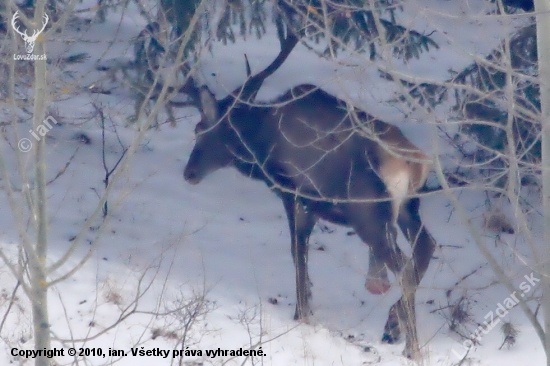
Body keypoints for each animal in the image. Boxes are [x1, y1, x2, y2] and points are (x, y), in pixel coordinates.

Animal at [183, 25, 438, 360]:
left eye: (200, 129)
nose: (189, 173)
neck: (261, 147)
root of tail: (416, 162)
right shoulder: (312, 204)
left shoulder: (294, 192)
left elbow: (297, 251)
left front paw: (302, 314)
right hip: (409, 207)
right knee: (426, 246)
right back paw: (394, 326)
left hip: (369, 213)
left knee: (405, 267)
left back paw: (412, 347)